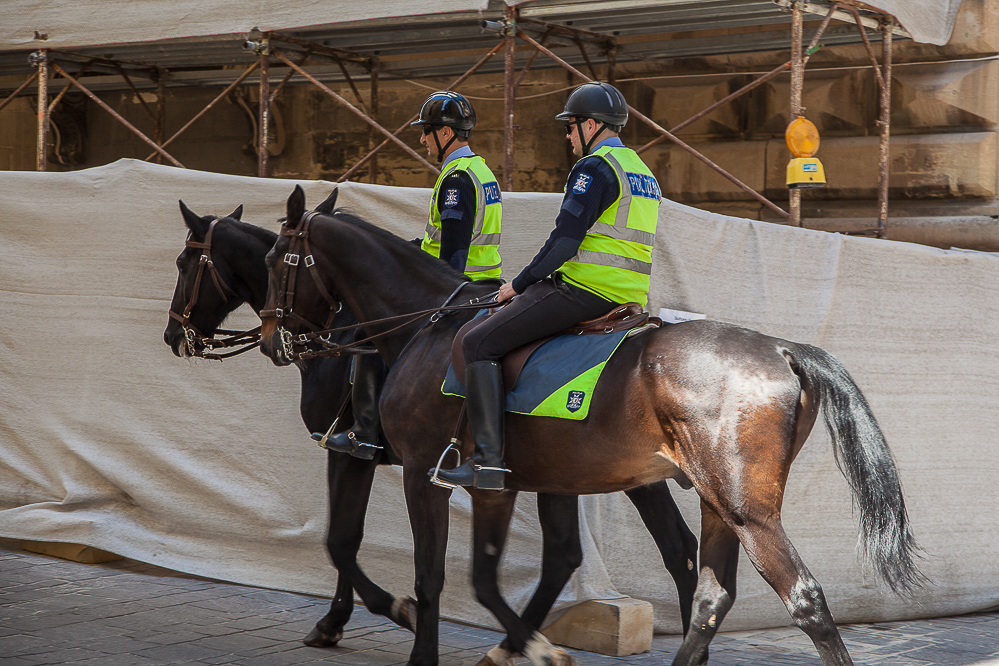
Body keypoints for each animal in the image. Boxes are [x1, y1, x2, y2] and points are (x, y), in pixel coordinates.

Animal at [164, 191, 700, 660]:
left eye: (184, 264)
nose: (172, 334)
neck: (413, 326)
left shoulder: (363, 455)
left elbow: (348, 545)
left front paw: (390, 615)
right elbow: (346, 542)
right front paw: (341, 620)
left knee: (614, 553)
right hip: (606, 474)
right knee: (655, 551)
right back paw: (519, 643)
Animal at [262, 184, 924, 664]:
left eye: (275, 260)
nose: (273, 340)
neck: (427, 327)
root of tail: (781, 349)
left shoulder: (421, 472)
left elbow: (428, 574)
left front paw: (431, 644)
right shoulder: (499, 486)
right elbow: (483, 577)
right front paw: (528, 647)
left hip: (746, 511)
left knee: (802, 599)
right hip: (713, 499)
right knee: (709, 597)